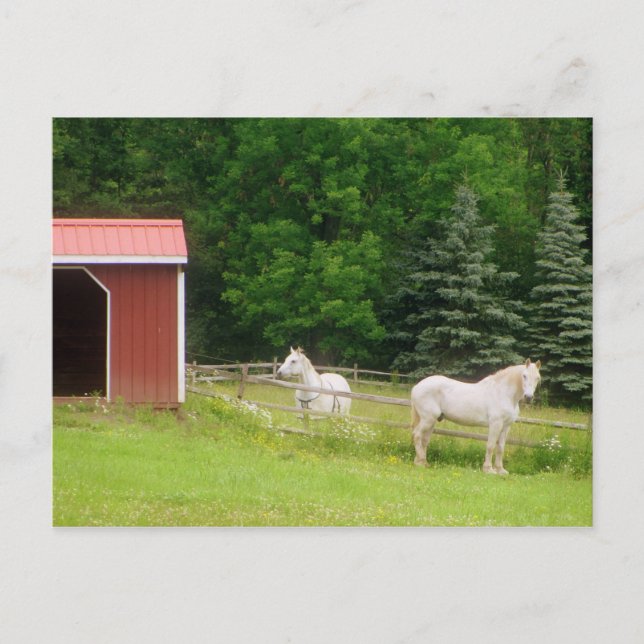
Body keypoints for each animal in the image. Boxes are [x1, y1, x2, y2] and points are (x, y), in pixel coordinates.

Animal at [410, 359, 541, 475]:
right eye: (524, 376)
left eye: (537, 378)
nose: (528, 397)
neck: (503, 393)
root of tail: (417, 387)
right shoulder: (495, 424)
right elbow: (490, 446)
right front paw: (488, 470)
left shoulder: (506, 426)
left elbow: (500, 447)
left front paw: (500, 470)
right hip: (428, 419)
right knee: (417, 435)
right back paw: (420, 462)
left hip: (432, 421)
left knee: (424, 440)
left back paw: (423, 463)